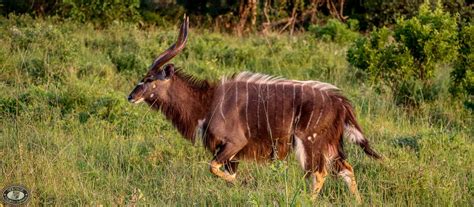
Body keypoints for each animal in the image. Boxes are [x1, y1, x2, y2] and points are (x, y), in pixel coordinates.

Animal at [128, 16, 380, 202]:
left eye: (149, 79)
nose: (131, 96)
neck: (207, 103)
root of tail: (340, 102)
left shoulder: (234, 144)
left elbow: (213, 168)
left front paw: (244, 184)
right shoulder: (230, 154)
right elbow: (225, 173)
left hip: (310, 142)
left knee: (319, 173)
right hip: (331, 144)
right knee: (346, 168)